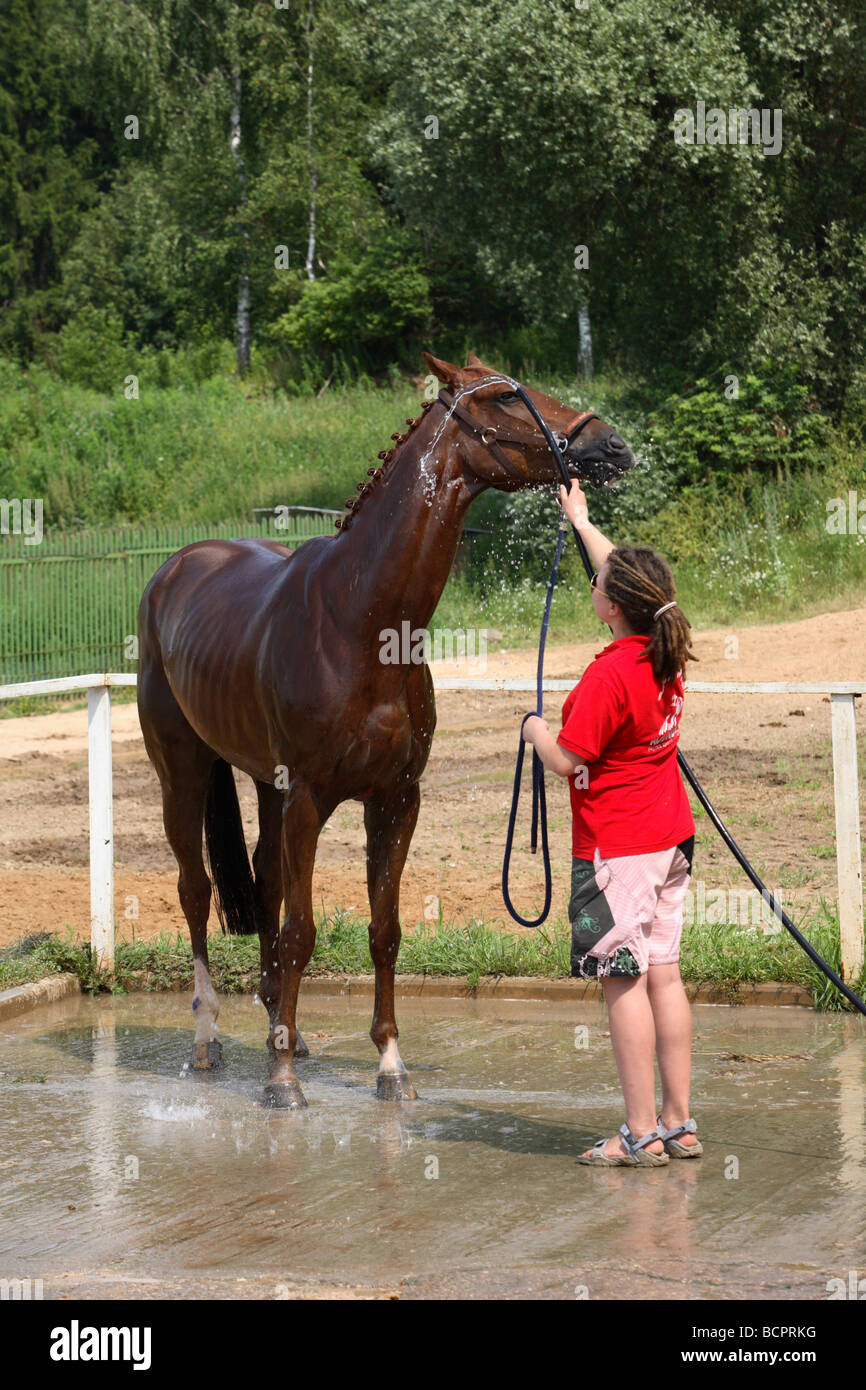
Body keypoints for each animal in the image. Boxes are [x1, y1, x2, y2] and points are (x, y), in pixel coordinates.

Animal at [136, 350, 636, 1106]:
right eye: (506, 398)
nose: (611, 445)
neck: (361, 619)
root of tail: (173, 569)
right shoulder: (309, 798)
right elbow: (303, 932)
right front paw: (283, 1084)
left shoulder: (396, 799)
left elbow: (384, 931)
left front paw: (389, 1066)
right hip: (184, 773)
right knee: (196, 891)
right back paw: (209, 1039)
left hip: (265, 786)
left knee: (264, 879)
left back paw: (285, 1030)